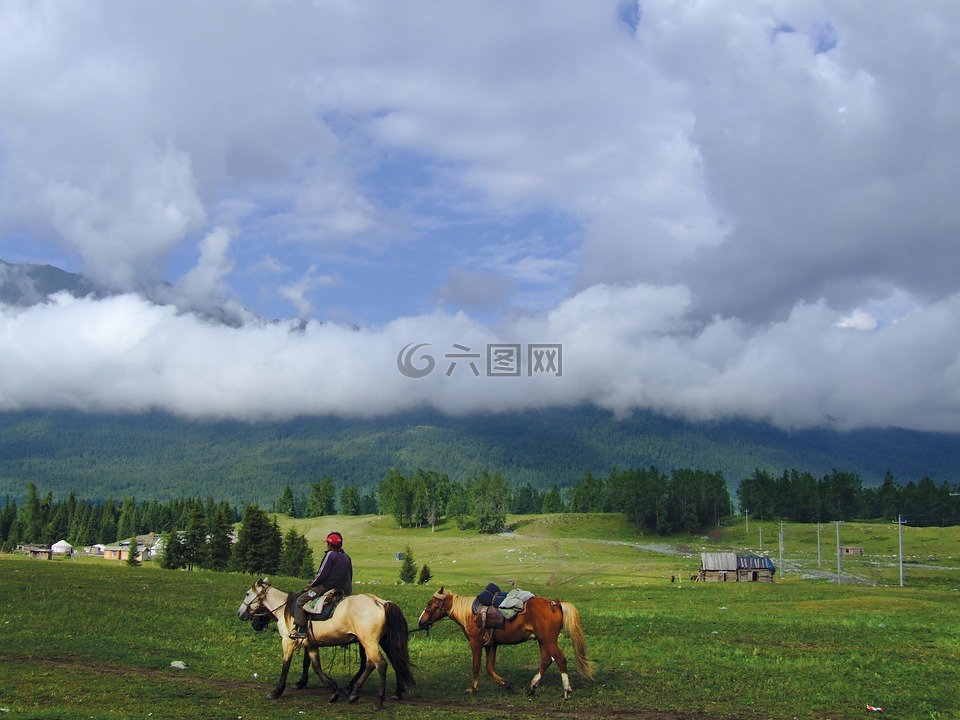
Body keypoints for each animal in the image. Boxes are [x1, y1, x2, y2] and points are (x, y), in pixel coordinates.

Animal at [238, 576, 414, 704]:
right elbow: (315, 667)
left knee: (380, 664)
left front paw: (276, 691)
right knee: (386, 662)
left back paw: (376, 700)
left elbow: (286, 666)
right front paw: (333, 689)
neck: (284, 609)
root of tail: (381, 602)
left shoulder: (288, 642)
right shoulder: (310, 644)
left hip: (368, 642)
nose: (240, 614)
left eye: (247, 593)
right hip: (378, 641)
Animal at [420, 588, 592, 700]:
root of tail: (555, 603)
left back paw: (566, 691)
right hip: (543, 640)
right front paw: (507, 685)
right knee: (546, 660)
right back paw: (532, 687)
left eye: (429, 603)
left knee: (560, 660)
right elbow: (489, 668)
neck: (469, 614)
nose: (421, 622)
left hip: (549, 640)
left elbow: (476, 666)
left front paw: (472, 689)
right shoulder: (491, 645)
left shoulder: (476, 643)